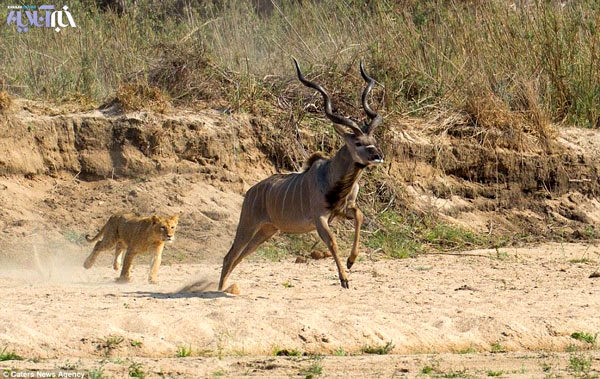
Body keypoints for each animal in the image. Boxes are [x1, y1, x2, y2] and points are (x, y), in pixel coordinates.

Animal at [218, 59, 382, 290]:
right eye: (358, 142)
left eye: (373, 140)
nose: (378, 156)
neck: (332, 177)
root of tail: (250, 192)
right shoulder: (320, 218)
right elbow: (333, 242)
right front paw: (344, 278)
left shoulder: (342, 210)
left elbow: (360, 215)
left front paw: (351, 262)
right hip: (248, 224)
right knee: (229, 256)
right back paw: (219, 289)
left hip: (266, 231)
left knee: (240, 256)